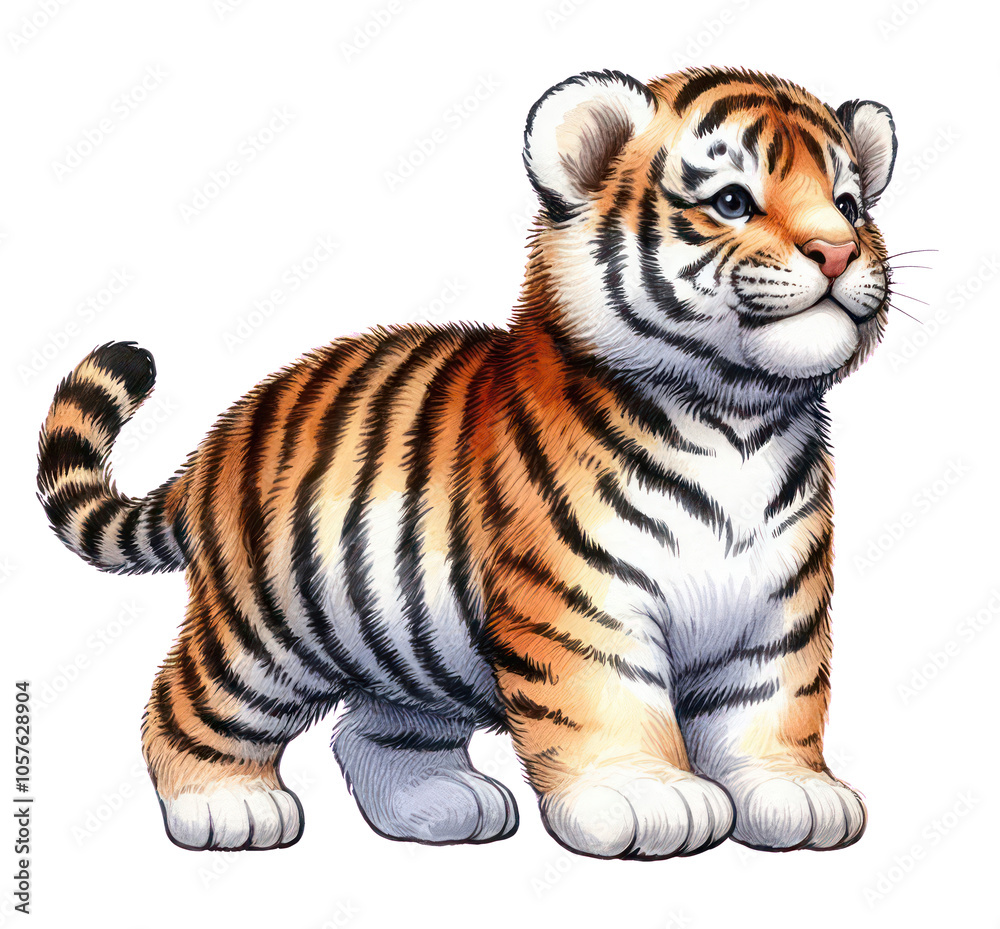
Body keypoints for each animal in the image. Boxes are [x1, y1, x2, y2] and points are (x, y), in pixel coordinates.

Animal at [37, 66, 897, 859]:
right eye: (732, 202)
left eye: (851, 204)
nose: (837, 250)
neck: (736, 418)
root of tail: (219, 438)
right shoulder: (583, 601)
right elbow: (606, 702)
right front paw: (647, 797)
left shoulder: (776, 610)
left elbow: (772, 704)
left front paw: (794, 793)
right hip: (265, 632)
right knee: (182, 706)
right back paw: (227, 807)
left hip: (407, 651)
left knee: (372, 734)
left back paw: (442, 804)